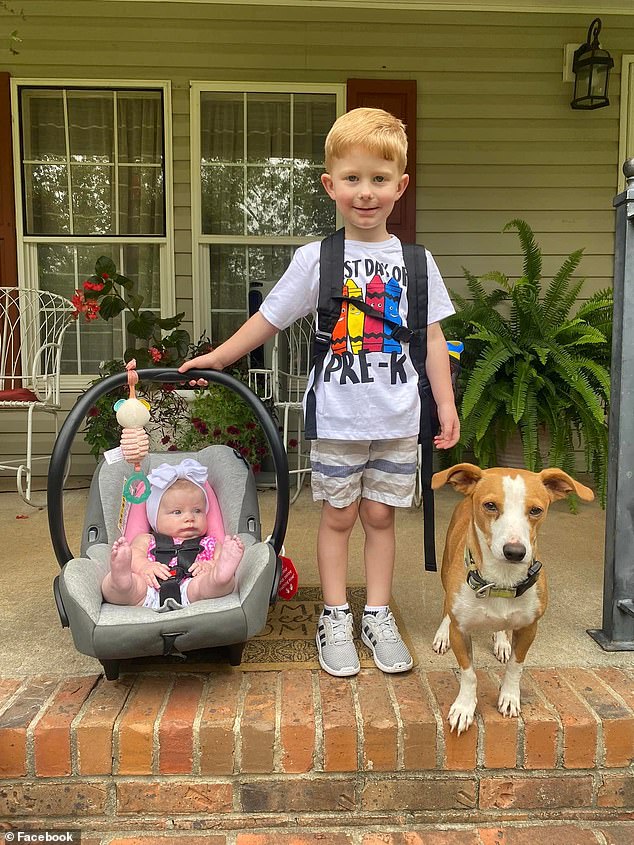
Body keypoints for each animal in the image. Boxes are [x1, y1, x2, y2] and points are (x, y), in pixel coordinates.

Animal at [430, 462, 592, 732]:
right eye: (490, 505)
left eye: (536, 510)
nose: (515, 552)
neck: (501, 581)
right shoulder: (461, 632)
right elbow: (469, 673)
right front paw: (464, 707)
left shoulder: (529, 628)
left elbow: (516, 666)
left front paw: (509, 696)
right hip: (444, 569)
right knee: (445, 608)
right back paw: (443, 633)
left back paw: (502, 640)